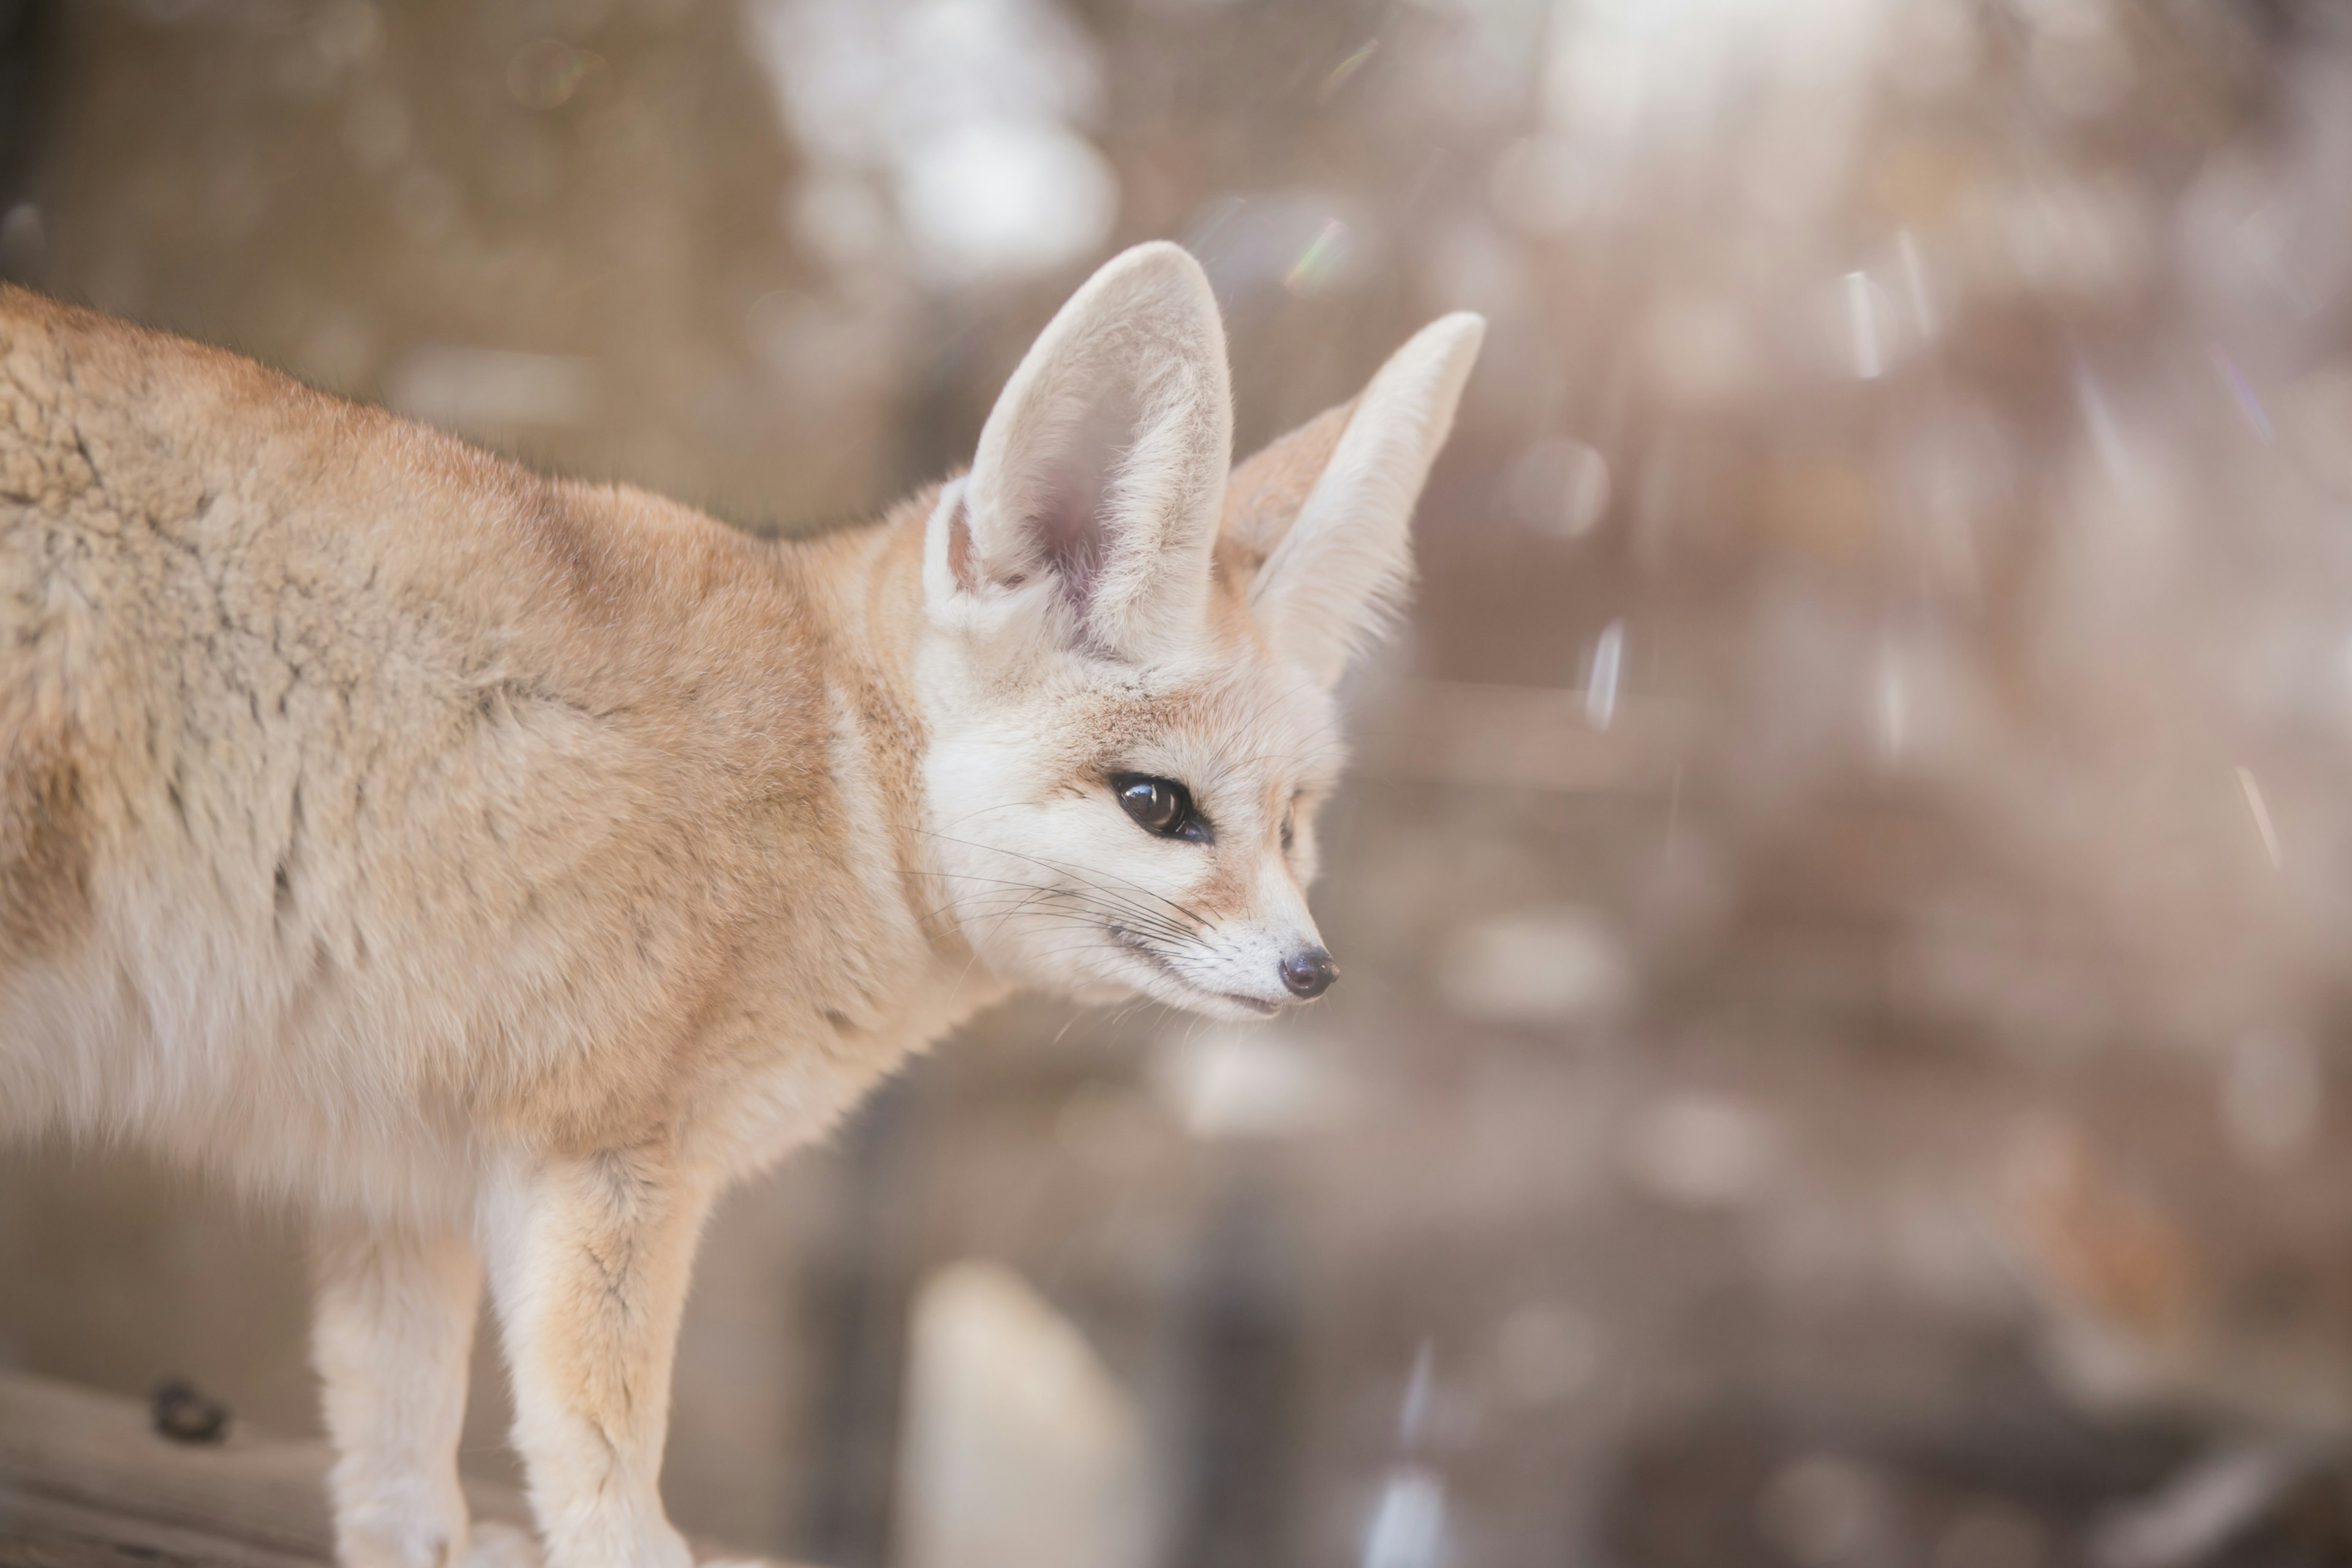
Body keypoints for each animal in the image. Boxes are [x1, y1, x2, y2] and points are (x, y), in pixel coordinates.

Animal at [0, 242, 1477, 1561]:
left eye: (1293, 825)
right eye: (1158, 805)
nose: (1312, 971)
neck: (835, 779)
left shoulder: (398, 1172)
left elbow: (396, 1447)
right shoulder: (607, 1160)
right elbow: (599, 1449)